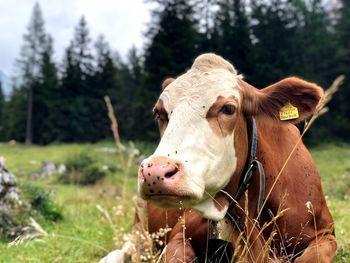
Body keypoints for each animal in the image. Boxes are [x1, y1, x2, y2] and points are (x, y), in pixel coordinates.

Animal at [100, 54, 334, 263]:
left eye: (228, 108)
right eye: (159, 113)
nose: (154, 172)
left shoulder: (325, 233)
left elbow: (313, 257)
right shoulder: (180, 233)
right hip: (140, 225)